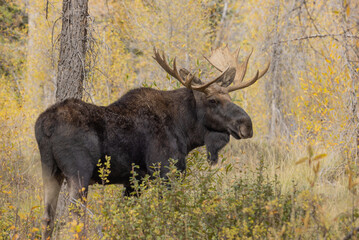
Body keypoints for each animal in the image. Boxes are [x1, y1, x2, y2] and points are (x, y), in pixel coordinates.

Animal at [35, 45, 270, 238]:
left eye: (230, 98)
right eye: (213, 100)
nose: (247, 124)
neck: (185, 131)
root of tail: (45, 125)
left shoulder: (133, 181)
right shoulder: (166, 171)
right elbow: (167, 212)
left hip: (50, 171)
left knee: (47, 218)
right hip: (79, 173)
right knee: (74, 218)